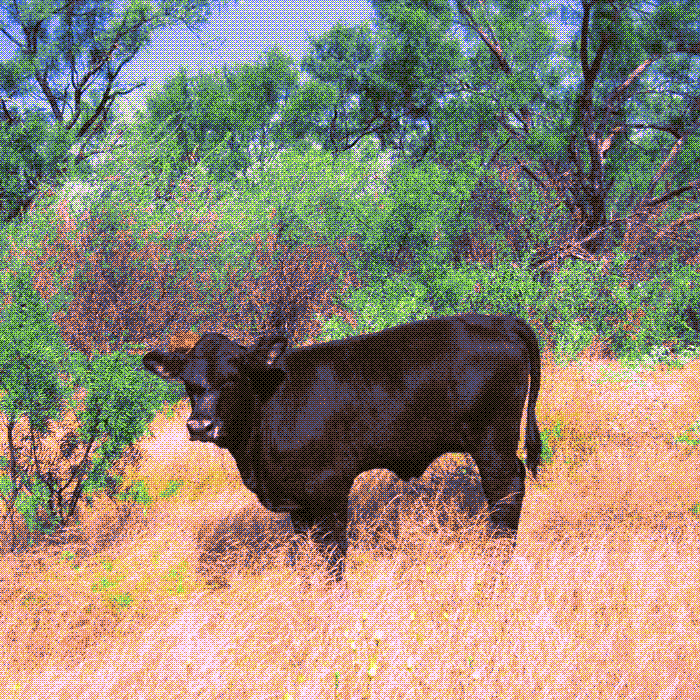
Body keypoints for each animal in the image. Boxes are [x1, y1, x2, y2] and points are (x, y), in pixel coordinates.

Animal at [143, 314, 541, 580]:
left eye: (232, 377)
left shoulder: (329, 487)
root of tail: (499, 320)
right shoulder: (297, 500)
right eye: (189, 383)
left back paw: (497, 560)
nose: (200, 425)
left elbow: (332, 554)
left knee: (507, 492)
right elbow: (305, 553)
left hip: (492, 443)